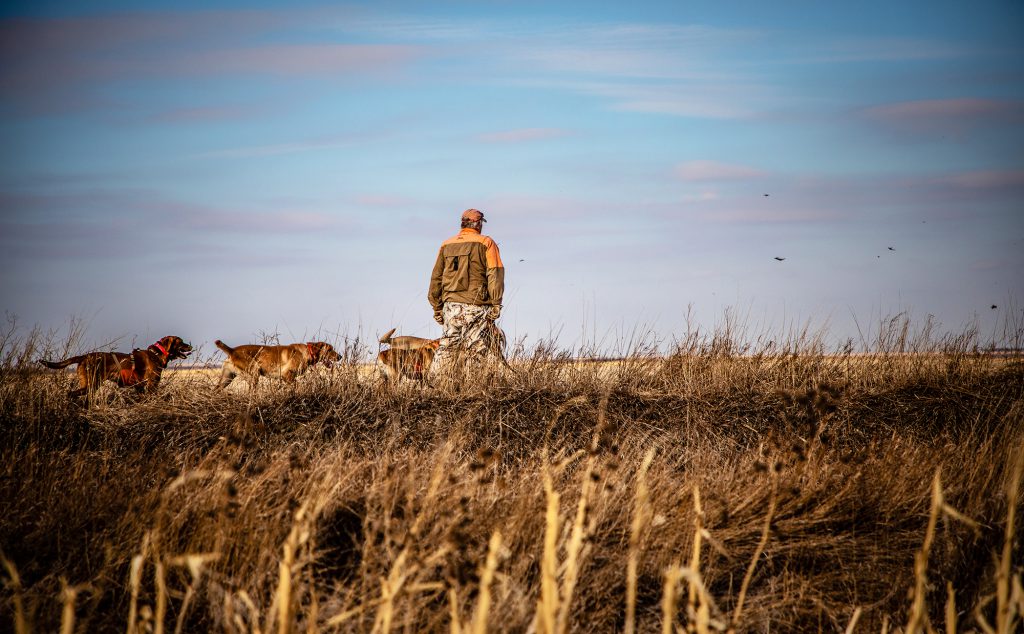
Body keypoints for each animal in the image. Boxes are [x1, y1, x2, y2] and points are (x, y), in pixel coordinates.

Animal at [37, 333, 193, 399]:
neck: (156, 354)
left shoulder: (140, 388)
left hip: (90, 386)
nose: (191, 346)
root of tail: (84, 356)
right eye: (181, 342)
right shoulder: (151, 385)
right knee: (70, 394)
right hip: (90, 384)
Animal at [214, 340, 342, 389]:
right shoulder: (287, 374)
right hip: (254, 373)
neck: (307, 352)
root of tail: (232, 350)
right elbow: (296, 386)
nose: (340, 356)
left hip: (226, 378)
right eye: (330, 349)